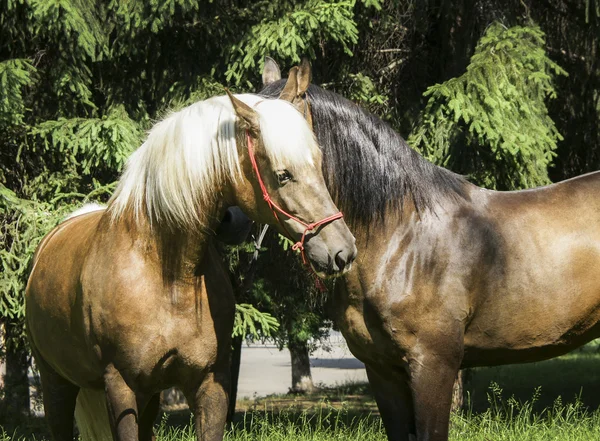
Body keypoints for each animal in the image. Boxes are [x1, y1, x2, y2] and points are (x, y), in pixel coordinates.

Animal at [25, 75, 356, 440]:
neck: (168, 277)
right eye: (283, 174)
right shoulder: (121, 386)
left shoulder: (209, 385)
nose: (342, 250)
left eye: (319, 166)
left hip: (148, 396)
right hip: (56, 382)